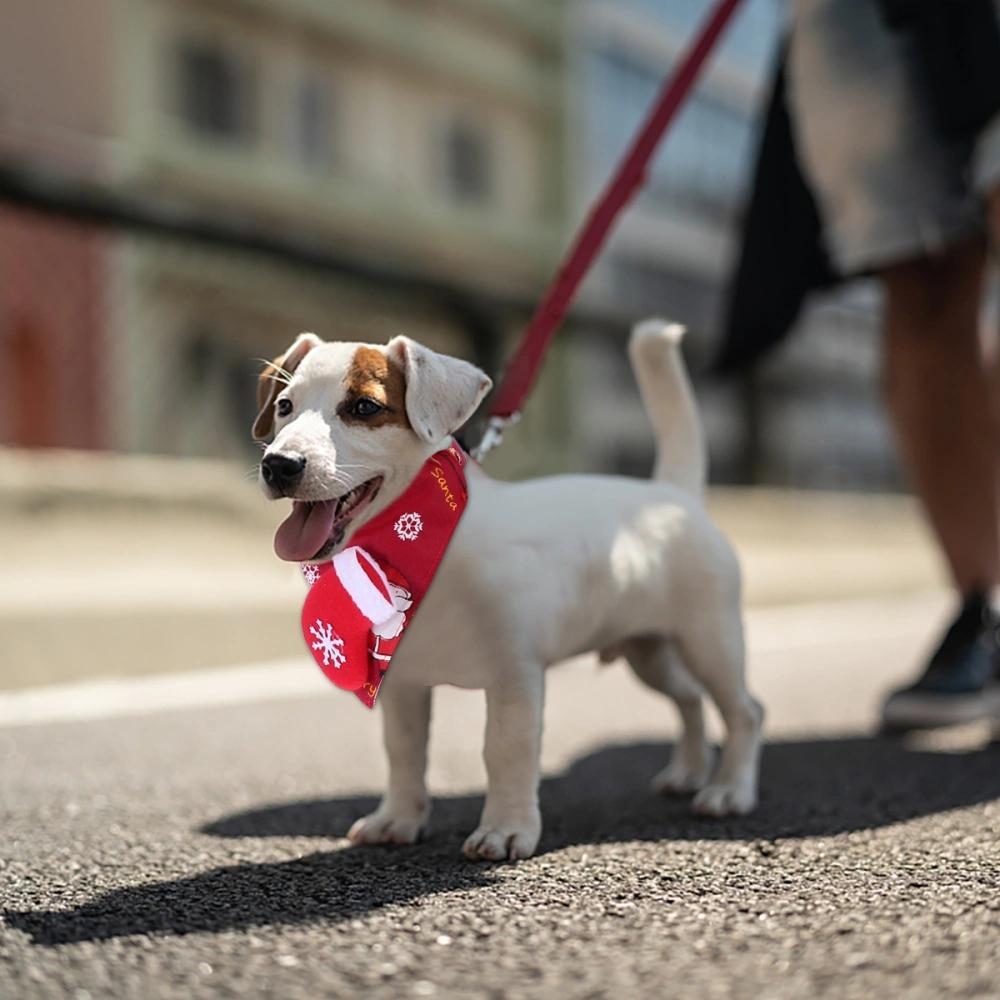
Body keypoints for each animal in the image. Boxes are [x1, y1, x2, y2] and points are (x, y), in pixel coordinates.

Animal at [254, 320, 760, 860]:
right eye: (284, 405)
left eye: (365, 408)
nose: (279, 465)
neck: (431, 547)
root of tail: (673, 495)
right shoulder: (404, 683)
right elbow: (404, 751)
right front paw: (398, 818)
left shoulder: (515, 677)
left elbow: (505, 751)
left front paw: (506, 827)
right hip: (650, 652)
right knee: (688, 699)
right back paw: (688, 771)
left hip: (710, 640)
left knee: (744, 712)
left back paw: (729, 791)